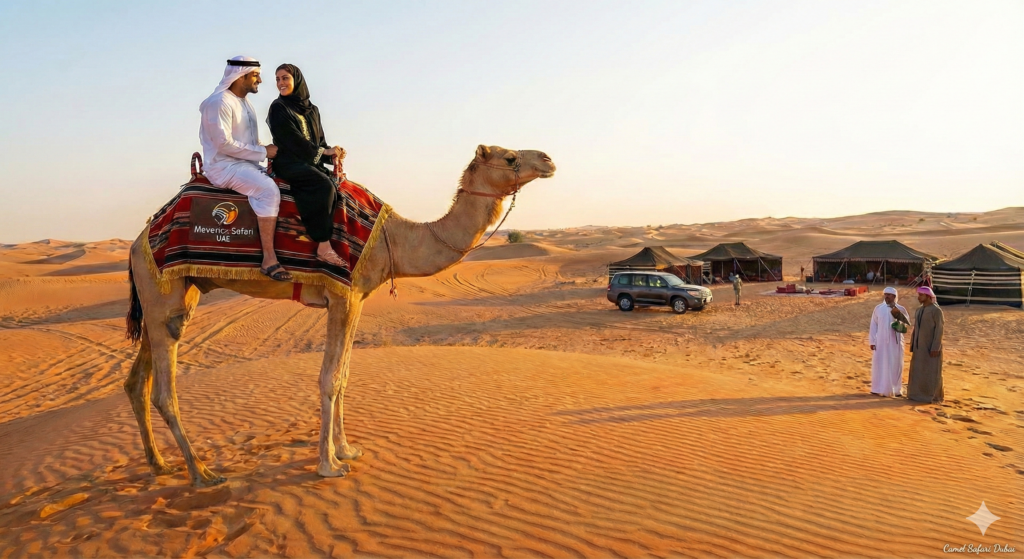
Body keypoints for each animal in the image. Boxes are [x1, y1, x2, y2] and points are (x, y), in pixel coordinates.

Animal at [124, 145, 555, 487]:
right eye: (510, 157)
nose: (549, 160)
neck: (393, 239)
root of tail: (138, 241)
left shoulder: (357, 299)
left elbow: (344, 376)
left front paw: (347, 449)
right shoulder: (342, 295)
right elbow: (329, 379)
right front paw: (328, 464)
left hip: (173, 296)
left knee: (137, 381)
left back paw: (160, 464)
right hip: (162, 289)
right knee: (163, 392)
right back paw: (201, 473)